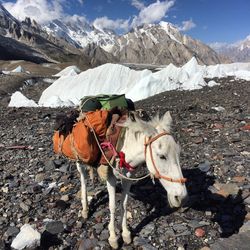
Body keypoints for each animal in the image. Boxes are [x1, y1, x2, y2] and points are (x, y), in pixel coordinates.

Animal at [75, 111, 188, 248]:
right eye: (162, 156)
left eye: (179, 153)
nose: (181, 197)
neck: (124, 151)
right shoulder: (110, 178)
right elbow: (112, 206)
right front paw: (113, 238)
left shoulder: (128, 178)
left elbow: (124, 204)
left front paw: (125, 234)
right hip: (79, 161)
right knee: (83, 180)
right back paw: (85, 209)